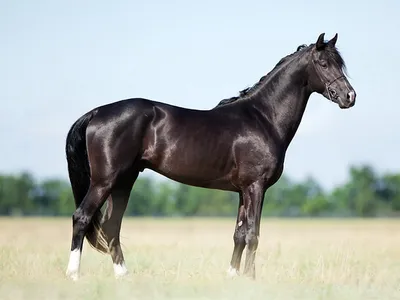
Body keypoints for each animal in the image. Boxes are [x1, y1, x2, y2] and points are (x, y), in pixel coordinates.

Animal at [65, 34, 356, 280]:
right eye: (323, 63)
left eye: (340, 64)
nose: (349, 97)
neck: (263, 117)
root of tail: (96, 113)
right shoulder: (256, 187)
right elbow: (253, 234)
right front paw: (250, 279)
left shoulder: (243, 191)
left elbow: (239, 234)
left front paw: (233, 277)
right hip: (105, 181)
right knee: (82, 217)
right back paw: (74, 275)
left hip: (124, 181)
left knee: (111, 225)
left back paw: (123, 275)